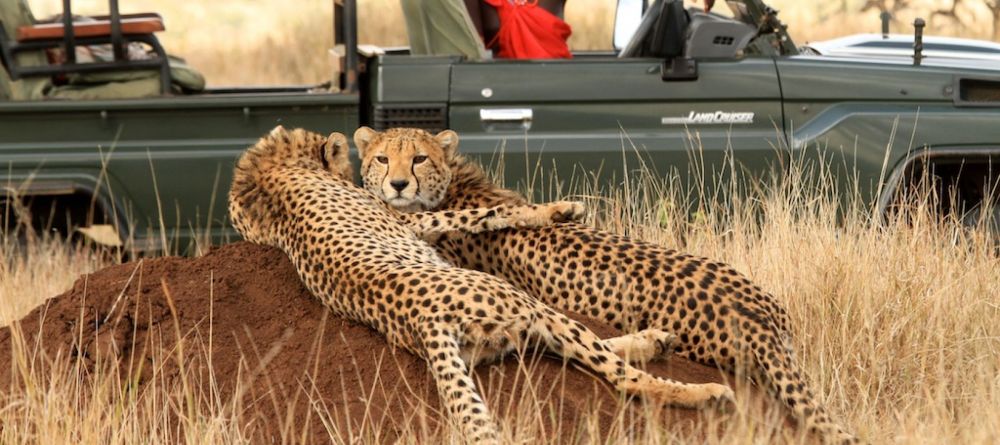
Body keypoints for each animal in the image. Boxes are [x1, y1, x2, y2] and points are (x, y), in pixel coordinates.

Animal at [230, 125, 740, 444]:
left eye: (416, 159)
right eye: (381, 160)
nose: (396, 185)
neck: (271, 172)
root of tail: (424, 320)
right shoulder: (415, 221)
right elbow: (490, 213)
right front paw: (556, 210)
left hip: (502, 335)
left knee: (571, 351)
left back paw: (656, 341)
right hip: (524, 304)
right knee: (619, 374)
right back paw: (701, 392)